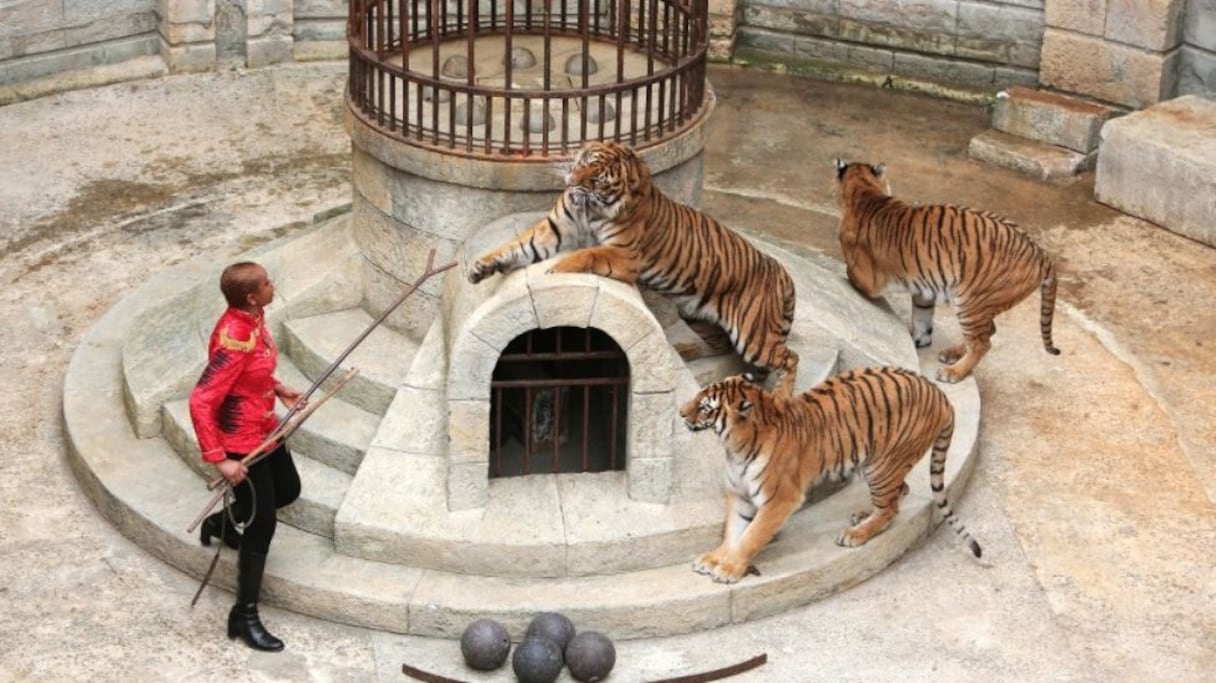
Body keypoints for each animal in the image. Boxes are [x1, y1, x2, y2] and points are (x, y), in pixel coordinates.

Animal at [464, 138, 797, 393]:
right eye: (582, 161)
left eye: (596, 178)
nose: (571, 182)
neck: (590, 208)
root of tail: (783, 274)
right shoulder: (552, 232)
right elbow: (513, 246)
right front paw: (480, 267)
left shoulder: (623, 255)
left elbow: (589, 254)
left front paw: (557, 269)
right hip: (696, 314)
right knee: (721, 346)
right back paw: (683, 351)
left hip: (752, 334)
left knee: (789, 358)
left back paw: (782, 396)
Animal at [680, 369, 982, 583]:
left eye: (705, 406)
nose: (681, 412)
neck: (734, 447)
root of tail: (939, 393)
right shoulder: (739, 495)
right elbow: (733, 532)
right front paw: (714, 558)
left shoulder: (780, 500)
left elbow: (752, 535)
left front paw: (729, 568)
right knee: (900, 491)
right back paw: (863, 515)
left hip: (881, 465)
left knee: (891, 508)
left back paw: (855, 534)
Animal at [831, 159, 1060, 384]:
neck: (866, 192)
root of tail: (1041, 254)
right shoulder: (923, 289)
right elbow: (922, 318)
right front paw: (919, 340)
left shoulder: (867, 279)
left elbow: (850, 273)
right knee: (988, 331)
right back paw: (952, 354)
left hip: (971, 302)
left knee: (982, 343)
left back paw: (953, 372)